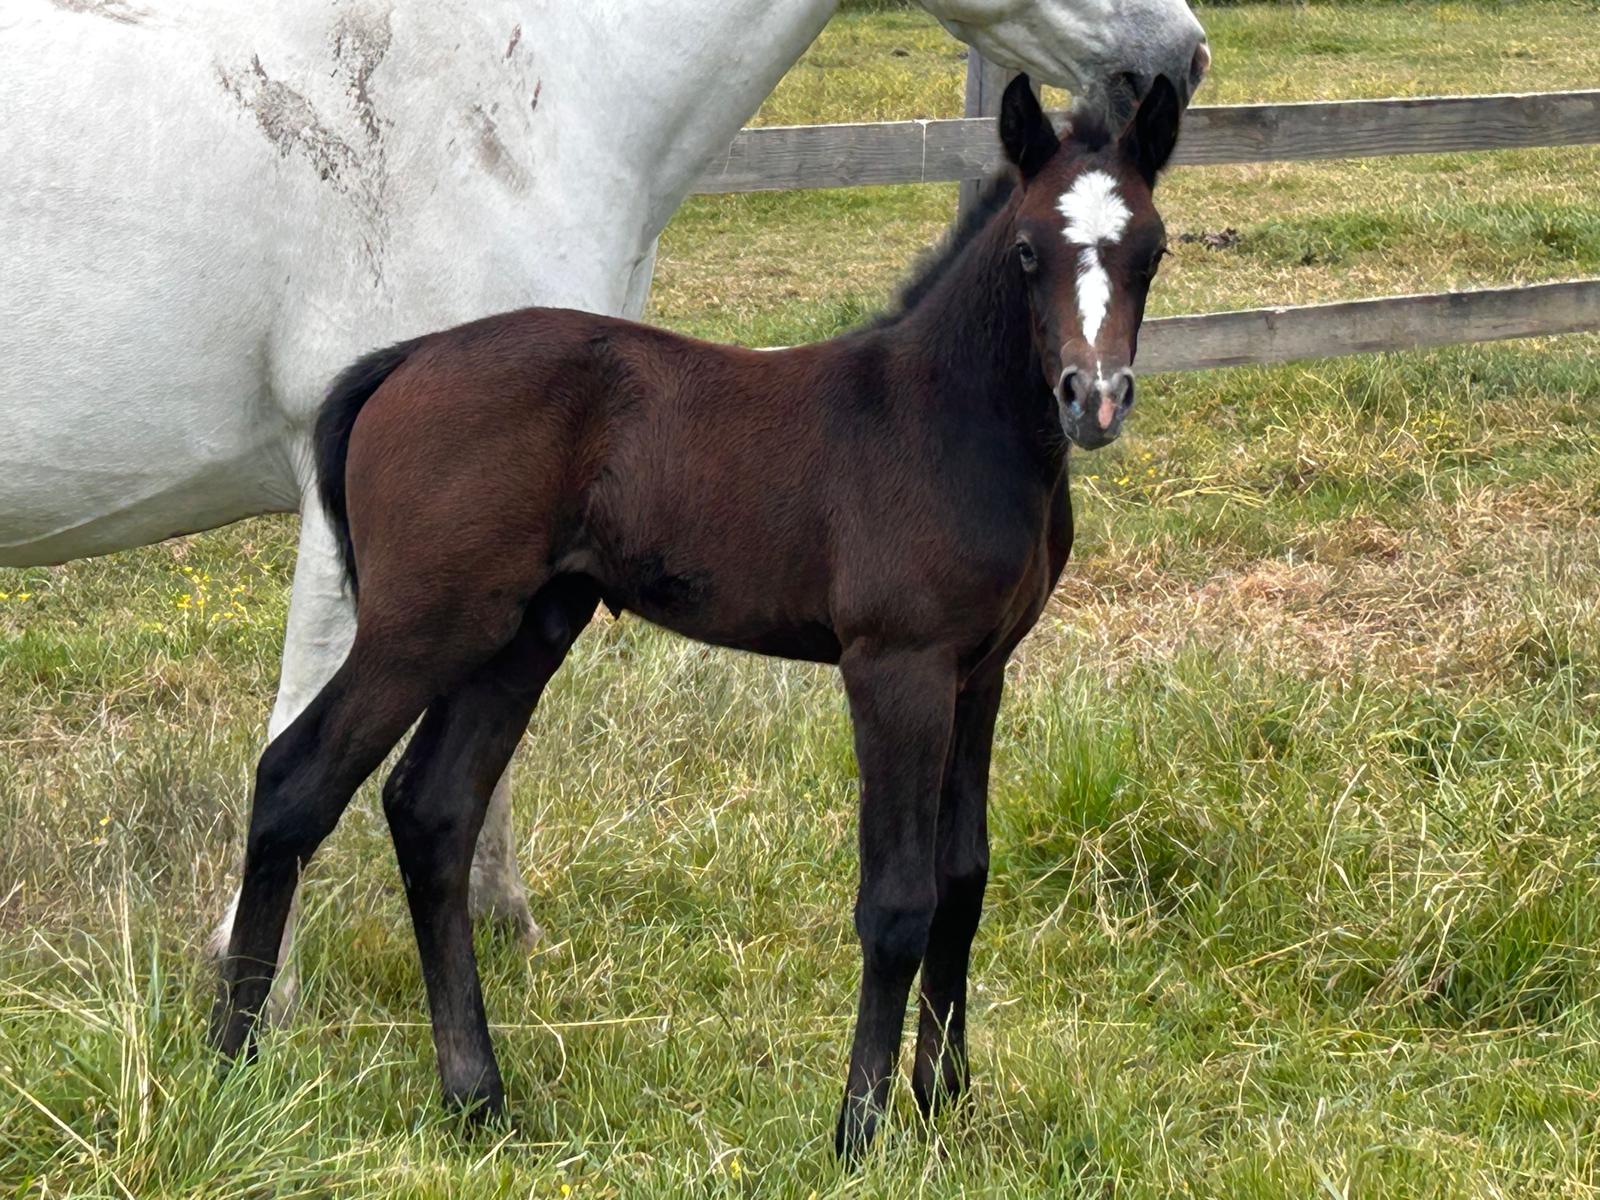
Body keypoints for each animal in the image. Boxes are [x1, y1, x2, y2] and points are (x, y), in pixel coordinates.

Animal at [1, 0, 1209, 1009]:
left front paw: (502, 930)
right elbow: (301, 746)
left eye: (1152, 249)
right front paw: (260, 982)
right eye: (1030, 251)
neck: (528, 92)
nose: (1179, 55)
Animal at [210, 73, 1183, 1158]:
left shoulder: (982, 670)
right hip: (424, 626)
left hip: (525, 629)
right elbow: (898, 898)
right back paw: (231, 1061)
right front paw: (858, 1130)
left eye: (1152, 248)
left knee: (432, 811)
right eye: (1026, 250)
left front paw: (948, 1103)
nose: (1093, 399)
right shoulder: (896, 666)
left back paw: (476, 1094)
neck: (942, 418)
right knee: (294, 781)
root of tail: (406, 360)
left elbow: (964, 881)